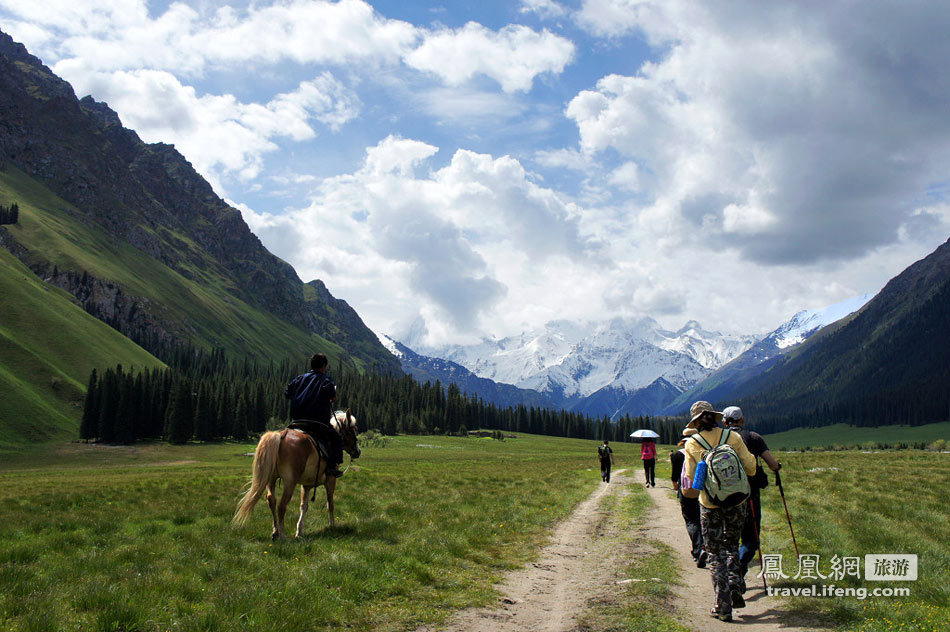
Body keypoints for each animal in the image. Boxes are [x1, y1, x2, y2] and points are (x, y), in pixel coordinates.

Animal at [233, 410, 360, 540]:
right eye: (353, 430)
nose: (357, 452)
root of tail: (281, 436)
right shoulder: (330, 480)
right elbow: (330, 503)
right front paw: (332, 525)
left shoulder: (306, 485)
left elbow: (304, 506)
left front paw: (299, 531)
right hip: (290, 482)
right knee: (282, 505)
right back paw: (282, 535)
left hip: (271, 480)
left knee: (271, 500)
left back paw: (275, 531)